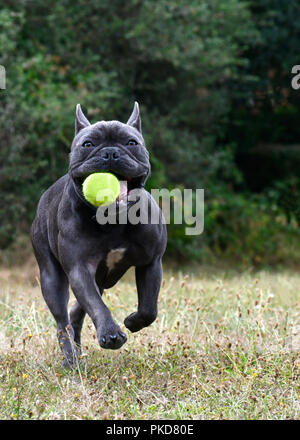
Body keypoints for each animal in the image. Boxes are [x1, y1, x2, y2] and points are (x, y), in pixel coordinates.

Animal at [30, 103, 168, 368]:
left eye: (131, 142)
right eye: (88, 144)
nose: (111, 153)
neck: (112, 220)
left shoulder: (151, 263)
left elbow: (149, 308)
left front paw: (132, 321)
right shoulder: (80, 269)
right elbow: (96, 305)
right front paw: (111, 334)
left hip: (102, 279)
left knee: (76, 312)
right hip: (51, 278)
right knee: (62, 321)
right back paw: (71, 358)